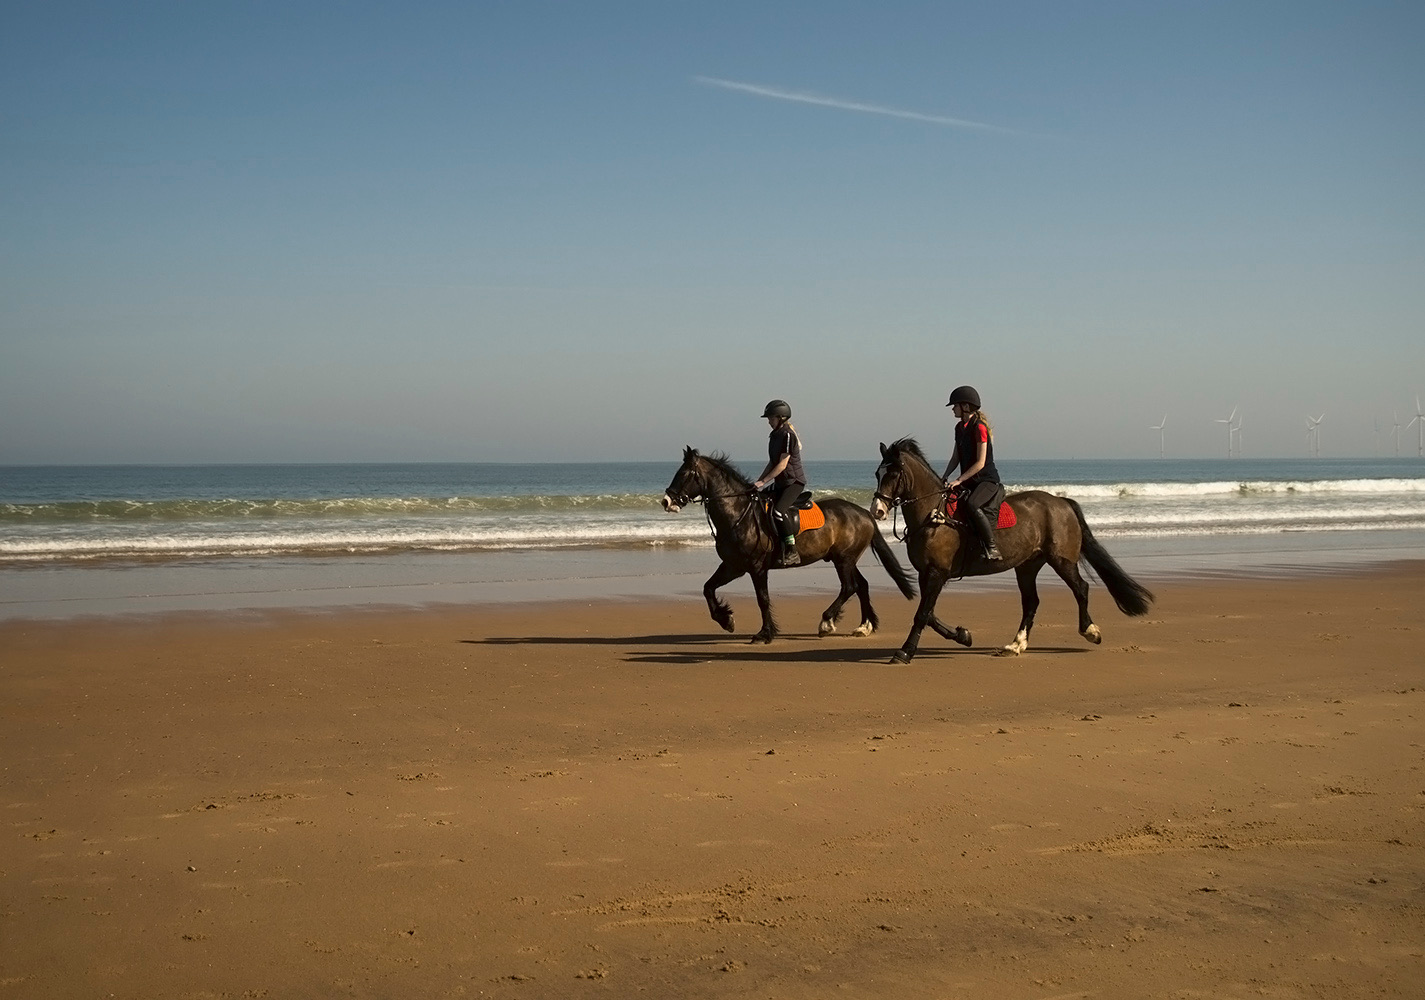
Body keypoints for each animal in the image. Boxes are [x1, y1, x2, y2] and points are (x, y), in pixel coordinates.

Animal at [664, 447, 917, 643]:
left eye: (685, 474)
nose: (666, 501)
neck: (738, 513)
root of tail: (864, 513)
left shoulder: (756, 568)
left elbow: (763, 599)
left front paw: (765, 633)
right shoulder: (733, 566)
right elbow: (708, 588)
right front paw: (726, 620)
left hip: (844, 559)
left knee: (849, 587)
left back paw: (827, 622)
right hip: (844, 559)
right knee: (861, 585)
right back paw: (864, 626)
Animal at [866, 438, 1157, 666]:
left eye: (894, 474)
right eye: (877, 474)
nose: (877, 511)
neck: (933, 515)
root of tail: (1061, 501)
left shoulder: (937, 573)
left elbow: (922, 614)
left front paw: (905, 652)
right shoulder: (927, 574)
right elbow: (929, 614)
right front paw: (963, 635)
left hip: (1061, 560)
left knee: (1081, 589)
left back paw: (1090, 631)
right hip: (1027, 566)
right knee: (1031, 602)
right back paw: (1016, 645)